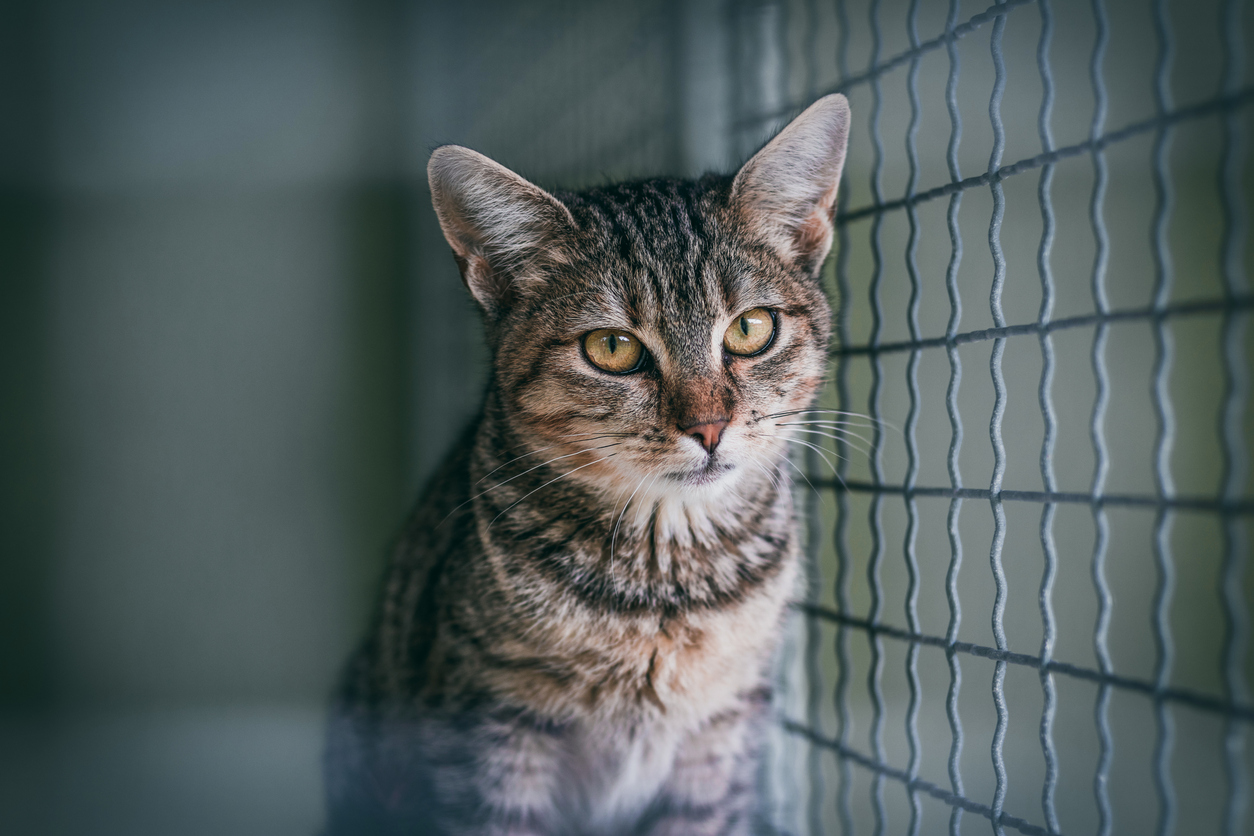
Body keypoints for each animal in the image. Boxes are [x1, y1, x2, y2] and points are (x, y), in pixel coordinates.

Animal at [323, 93, 852, 836]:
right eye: (612, 347)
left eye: (751, 329)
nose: (709, 427)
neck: (664, 588)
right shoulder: (491, 734)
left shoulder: (720, 736)